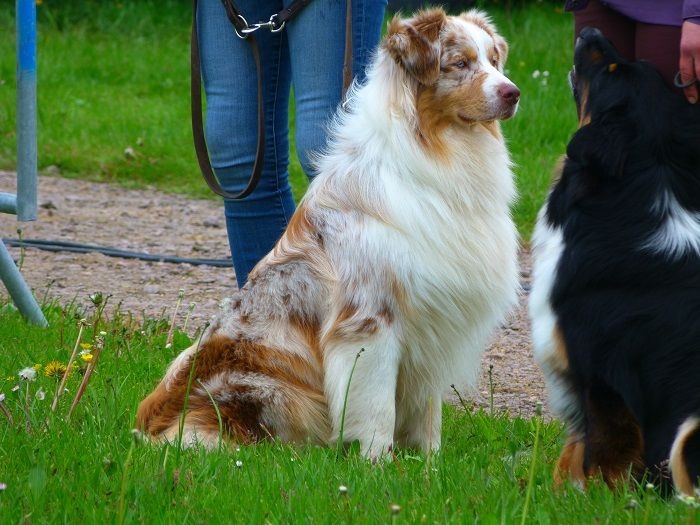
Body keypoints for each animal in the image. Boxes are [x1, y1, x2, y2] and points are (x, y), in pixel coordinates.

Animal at [532, 27, 700, 496]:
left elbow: (604, 444)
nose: (591, 31)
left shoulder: (601, 368)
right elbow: (575, 446)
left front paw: (596, 496)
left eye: (610, 70)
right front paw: (561, 492)